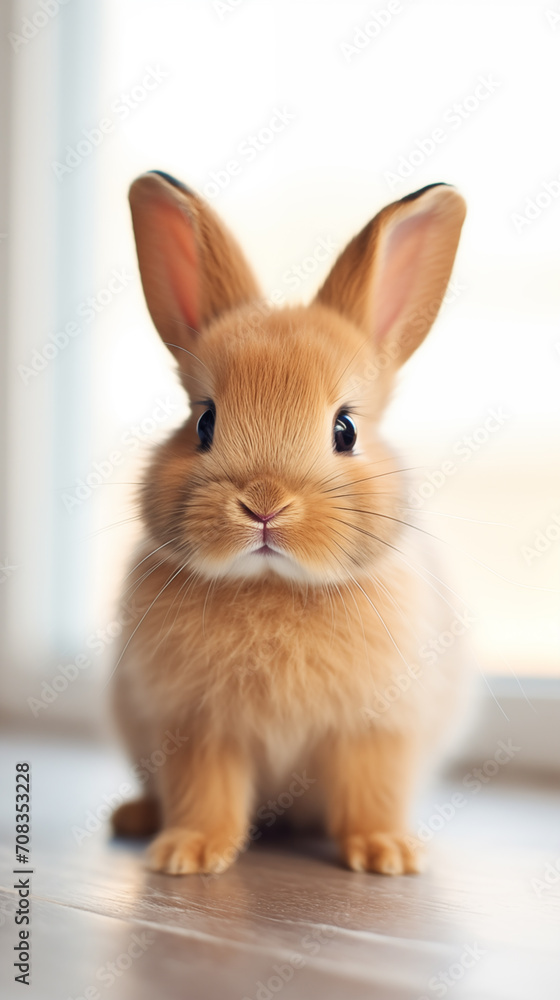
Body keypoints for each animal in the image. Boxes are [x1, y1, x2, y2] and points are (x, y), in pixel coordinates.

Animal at [111, 170, 469, 877]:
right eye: (204, 422)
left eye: (345, 429)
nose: (264, 504)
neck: (273, 585)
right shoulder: (198, 729)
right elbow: (205, 794)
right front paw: (188, 855)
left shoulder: (374, 730)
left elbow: (369, 793)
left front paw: (385, 854)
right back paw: (134, 819)